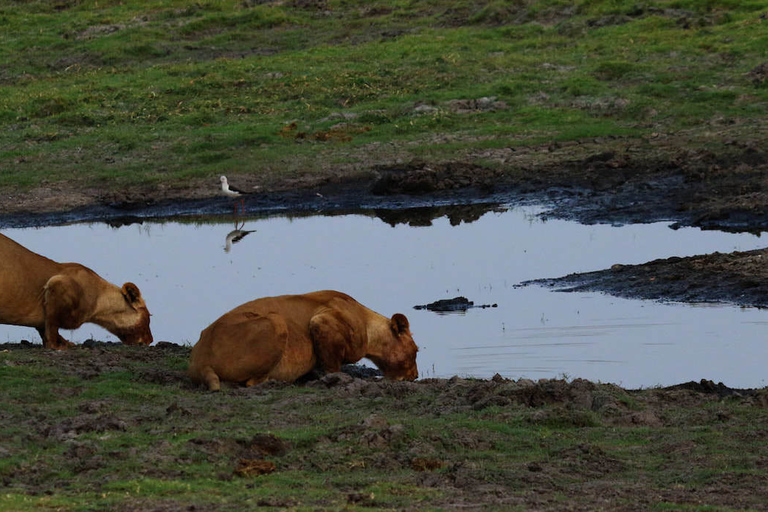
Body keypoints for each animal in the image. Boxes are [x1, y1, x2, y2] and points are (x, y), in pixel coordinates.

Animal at [0, 232, 153, 348]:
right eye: (148, 317)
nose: (150, 340)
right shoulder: (57, 283)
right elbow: (51, 329)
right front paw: (58, 346)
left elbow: (44, 328)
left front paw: (67, 343)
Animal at [190, 290, 420, 390]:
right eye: (416, 351)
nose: (416, 376)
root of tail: (200, 359)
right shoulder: (322, 320)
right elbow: (332, 366)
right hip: (276, 321)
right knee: (251, 382)